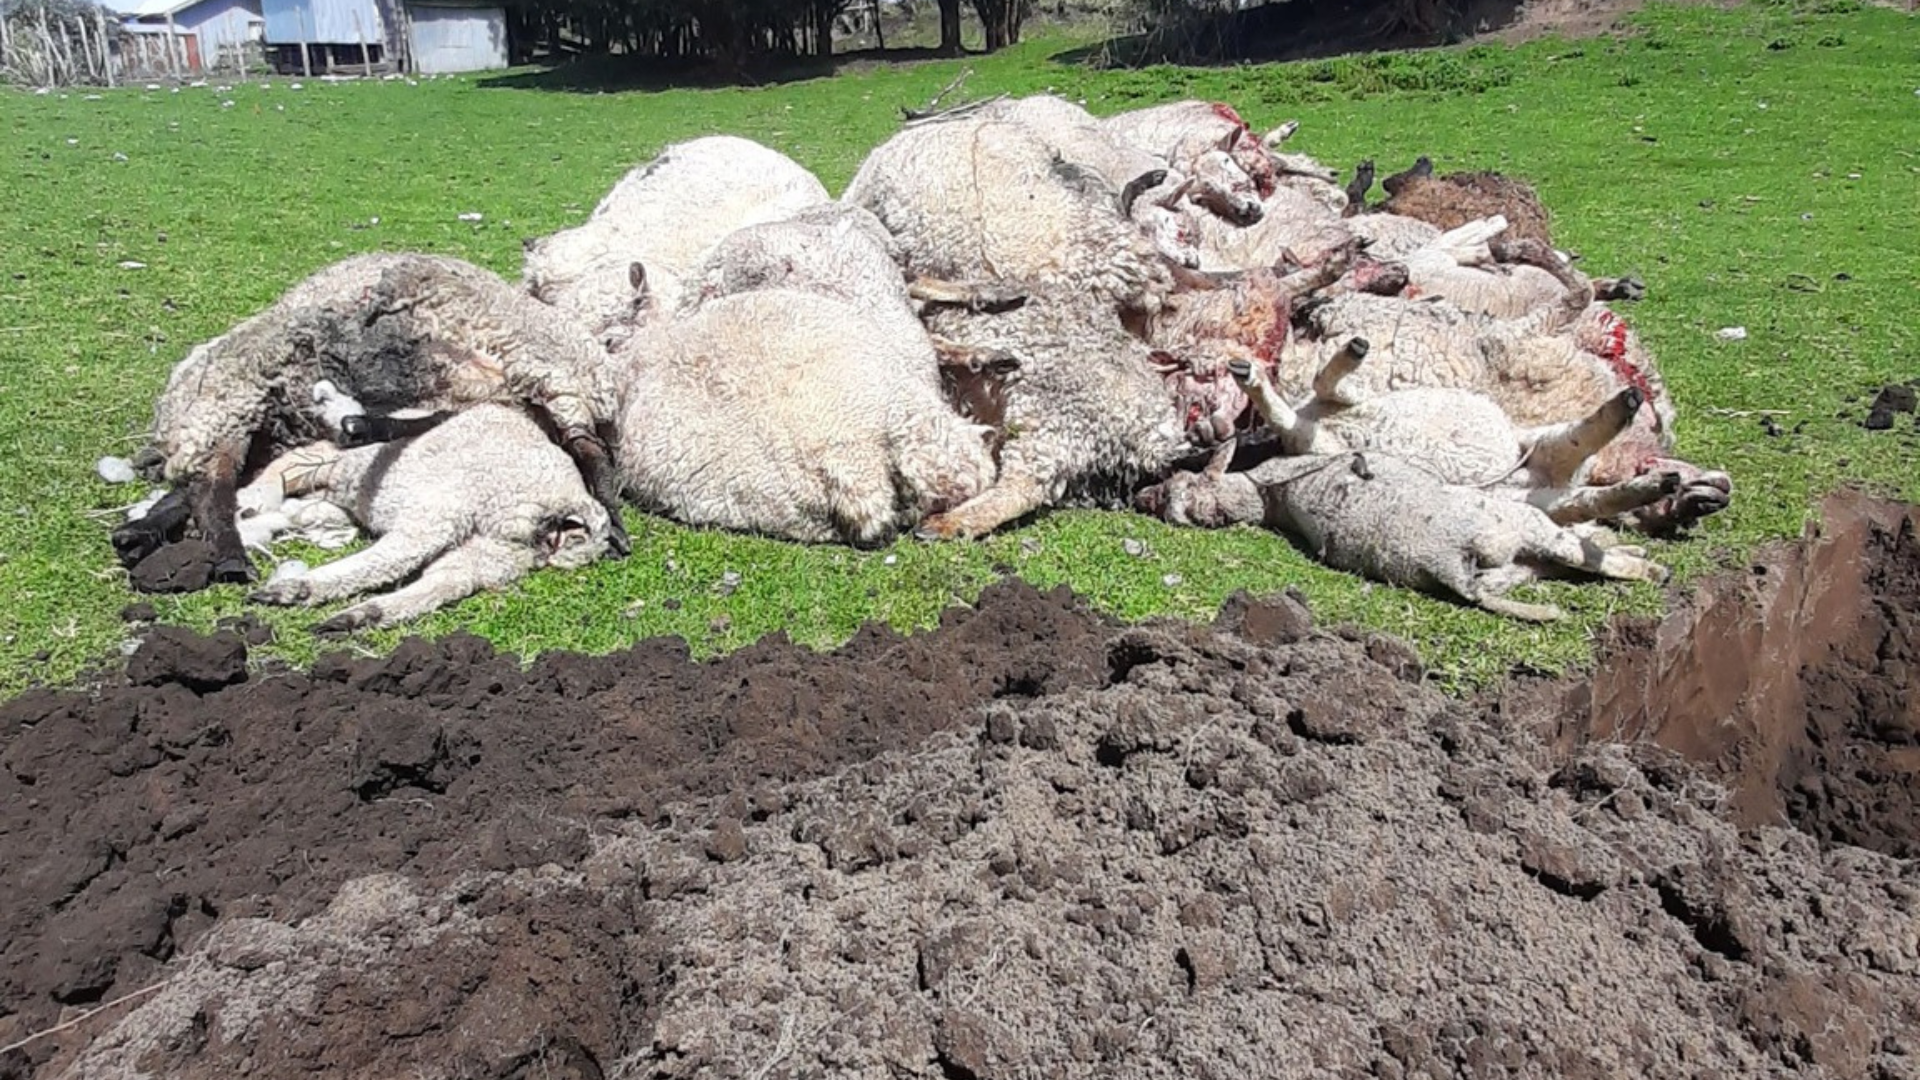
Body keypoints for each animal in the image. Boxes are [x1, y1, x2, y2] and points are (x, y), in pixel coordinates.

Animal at [244, 403, 615, 633]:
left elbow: (446, 582)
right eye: (572, 535)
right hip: (359, 463)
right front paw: (294, 589)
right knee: (305, 457)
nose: (551, 546)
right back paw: (256, 497)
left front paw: (359, 615)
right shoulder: (441, 511)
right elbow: (391, 558)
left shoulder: (481, 552)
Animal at [1134, 446, 1672, 622]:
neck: (1269, 495)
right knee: (1588, 553)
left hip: (1514, 569)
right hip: (1518, 528)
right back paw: (1651, 552)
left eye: (1175, 489)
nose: (1142, 497)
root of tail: (1448, 565)